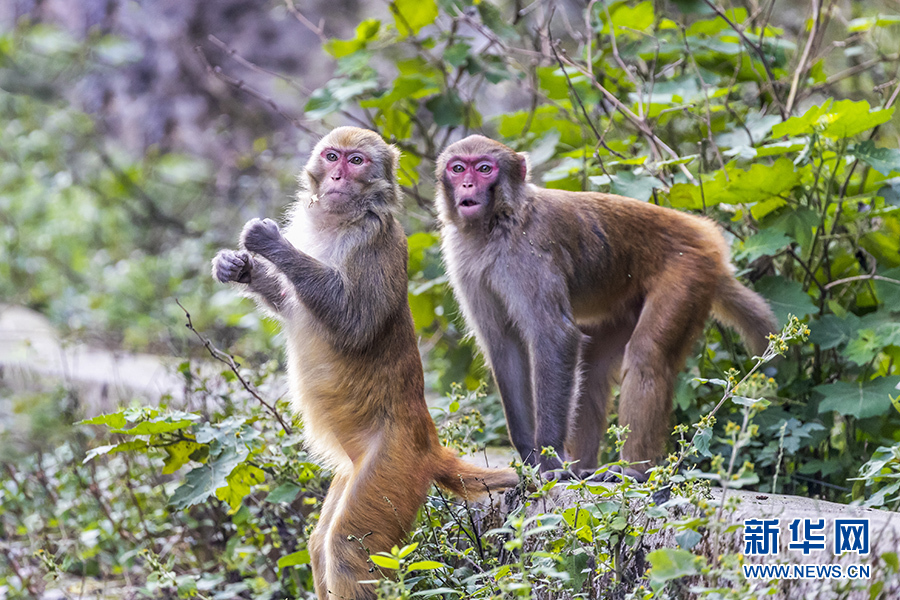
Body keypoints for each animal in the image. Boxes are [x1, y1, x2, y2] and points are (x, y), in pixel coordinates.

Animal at [213, 127, 520, 600]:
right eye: (332, 156)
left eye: (356, 161)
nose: (338, 175)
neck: (341, 220)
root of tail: (428, 444)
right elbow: (286, 300)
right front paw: (236, 266)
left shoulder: (375, 243)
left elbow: (354, 321)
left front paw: (269, 243)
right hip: (355, 470)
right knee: (321, 542)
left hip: (391, 470)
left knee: (345, 546)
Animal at [432, 135, 776, 478]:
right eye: (458, 168)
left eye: (484, 169)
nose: (467, 185)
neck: (497, 223)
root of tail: (706, 235)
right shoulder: (465, 264)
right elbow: (503, 346)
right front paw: (530, 457)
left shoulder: (529, 253)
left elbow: (555, 337)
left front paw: (550, 458)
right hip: (626, 302)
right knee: (594, 367)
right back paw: (585, 466)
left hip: (688, 271)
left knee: (646, 354)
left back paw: (633, 470)